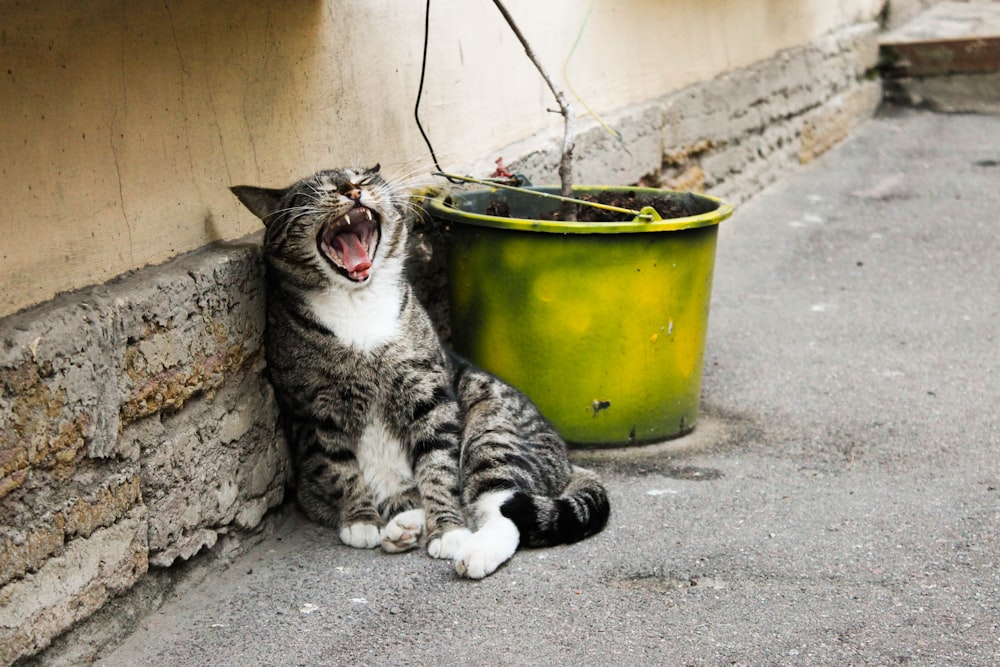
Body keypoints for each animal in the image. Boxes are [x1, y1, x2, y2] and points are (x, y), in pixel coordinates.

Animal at [232, 167, 608, 580]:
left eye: (361, 177)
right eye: (317, 190)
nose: (352, 190)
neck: (358, 303)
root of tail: (568, 462)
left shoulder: (428, 393)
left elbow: (437, 466)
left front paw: (446, 530)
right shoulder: (314, 412)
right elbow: (340, 468)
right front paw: (361, 520)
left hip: (491, 434)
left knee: (504, 510)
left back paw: (473, 550)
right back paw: (402, 527)